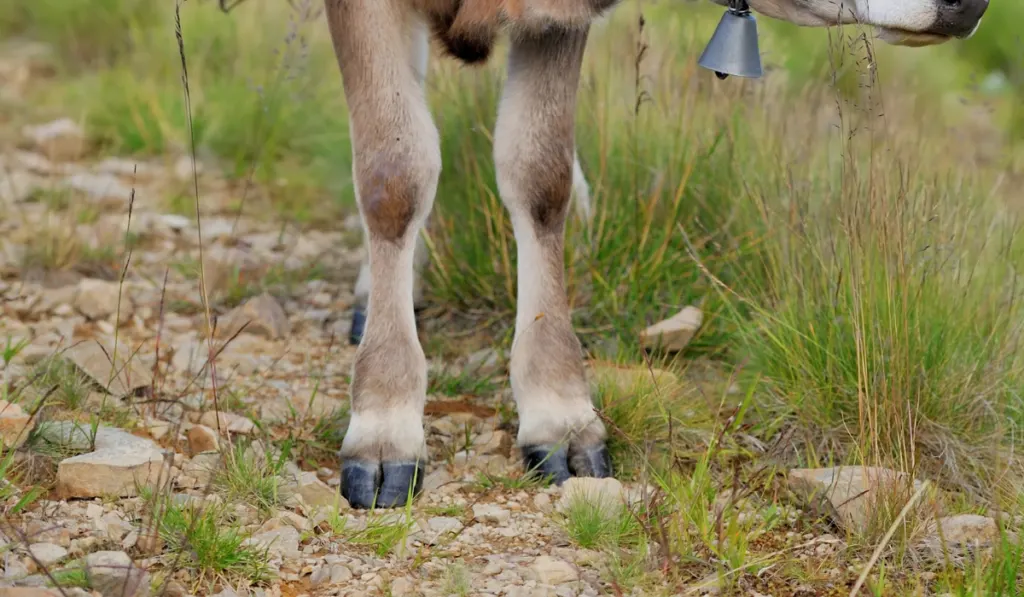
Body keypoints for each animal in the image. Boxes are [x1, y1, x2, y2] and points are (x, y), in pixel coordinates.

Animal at [323, 0, 987, 509]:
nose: (969, 4)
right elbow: (396, 176)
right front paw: (384, 424)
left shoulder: (555, 21)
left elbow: (539, 174)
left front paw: (558, 412)